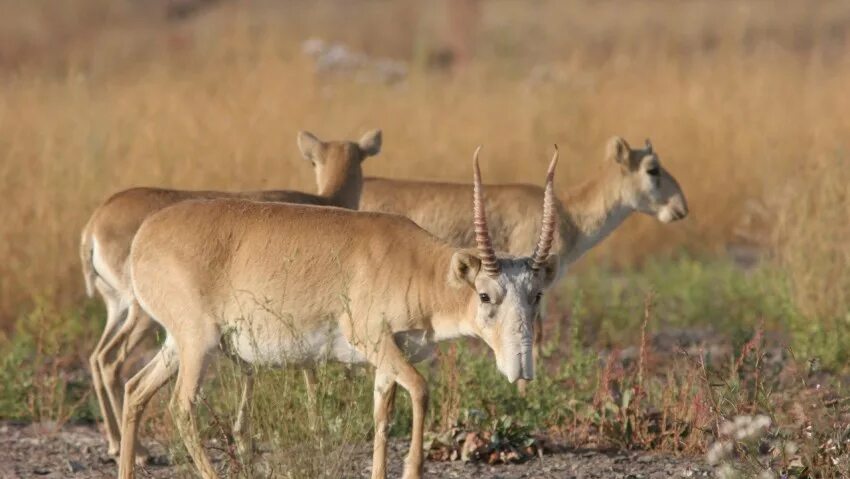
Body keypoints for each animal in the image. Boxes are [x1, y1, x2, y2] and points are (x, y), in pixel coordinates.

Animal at [80, 128, 380, 462]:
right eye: (313, 162)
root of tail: (94, 225)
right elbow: (304, 368)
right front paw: (316, 431)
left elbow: (251, 369)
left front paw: (244, 440)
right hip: (145, 317)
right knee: (112, 361)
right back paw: (138, 451)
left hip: (119, 310)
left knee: (99, 357)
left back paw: (117, 444)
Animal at [116, 148, 560, 478]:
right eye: (485, 295)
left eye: (536, 294)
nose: (521, 365)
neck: (416, 266)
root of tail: (144, 235)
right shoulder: (374, 339)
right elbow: (420, 389)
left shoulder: (388, 356)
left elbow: (382, 416)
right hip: (198, 344)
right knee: (180, 407)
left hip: (177, 345)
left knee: (135, 390)